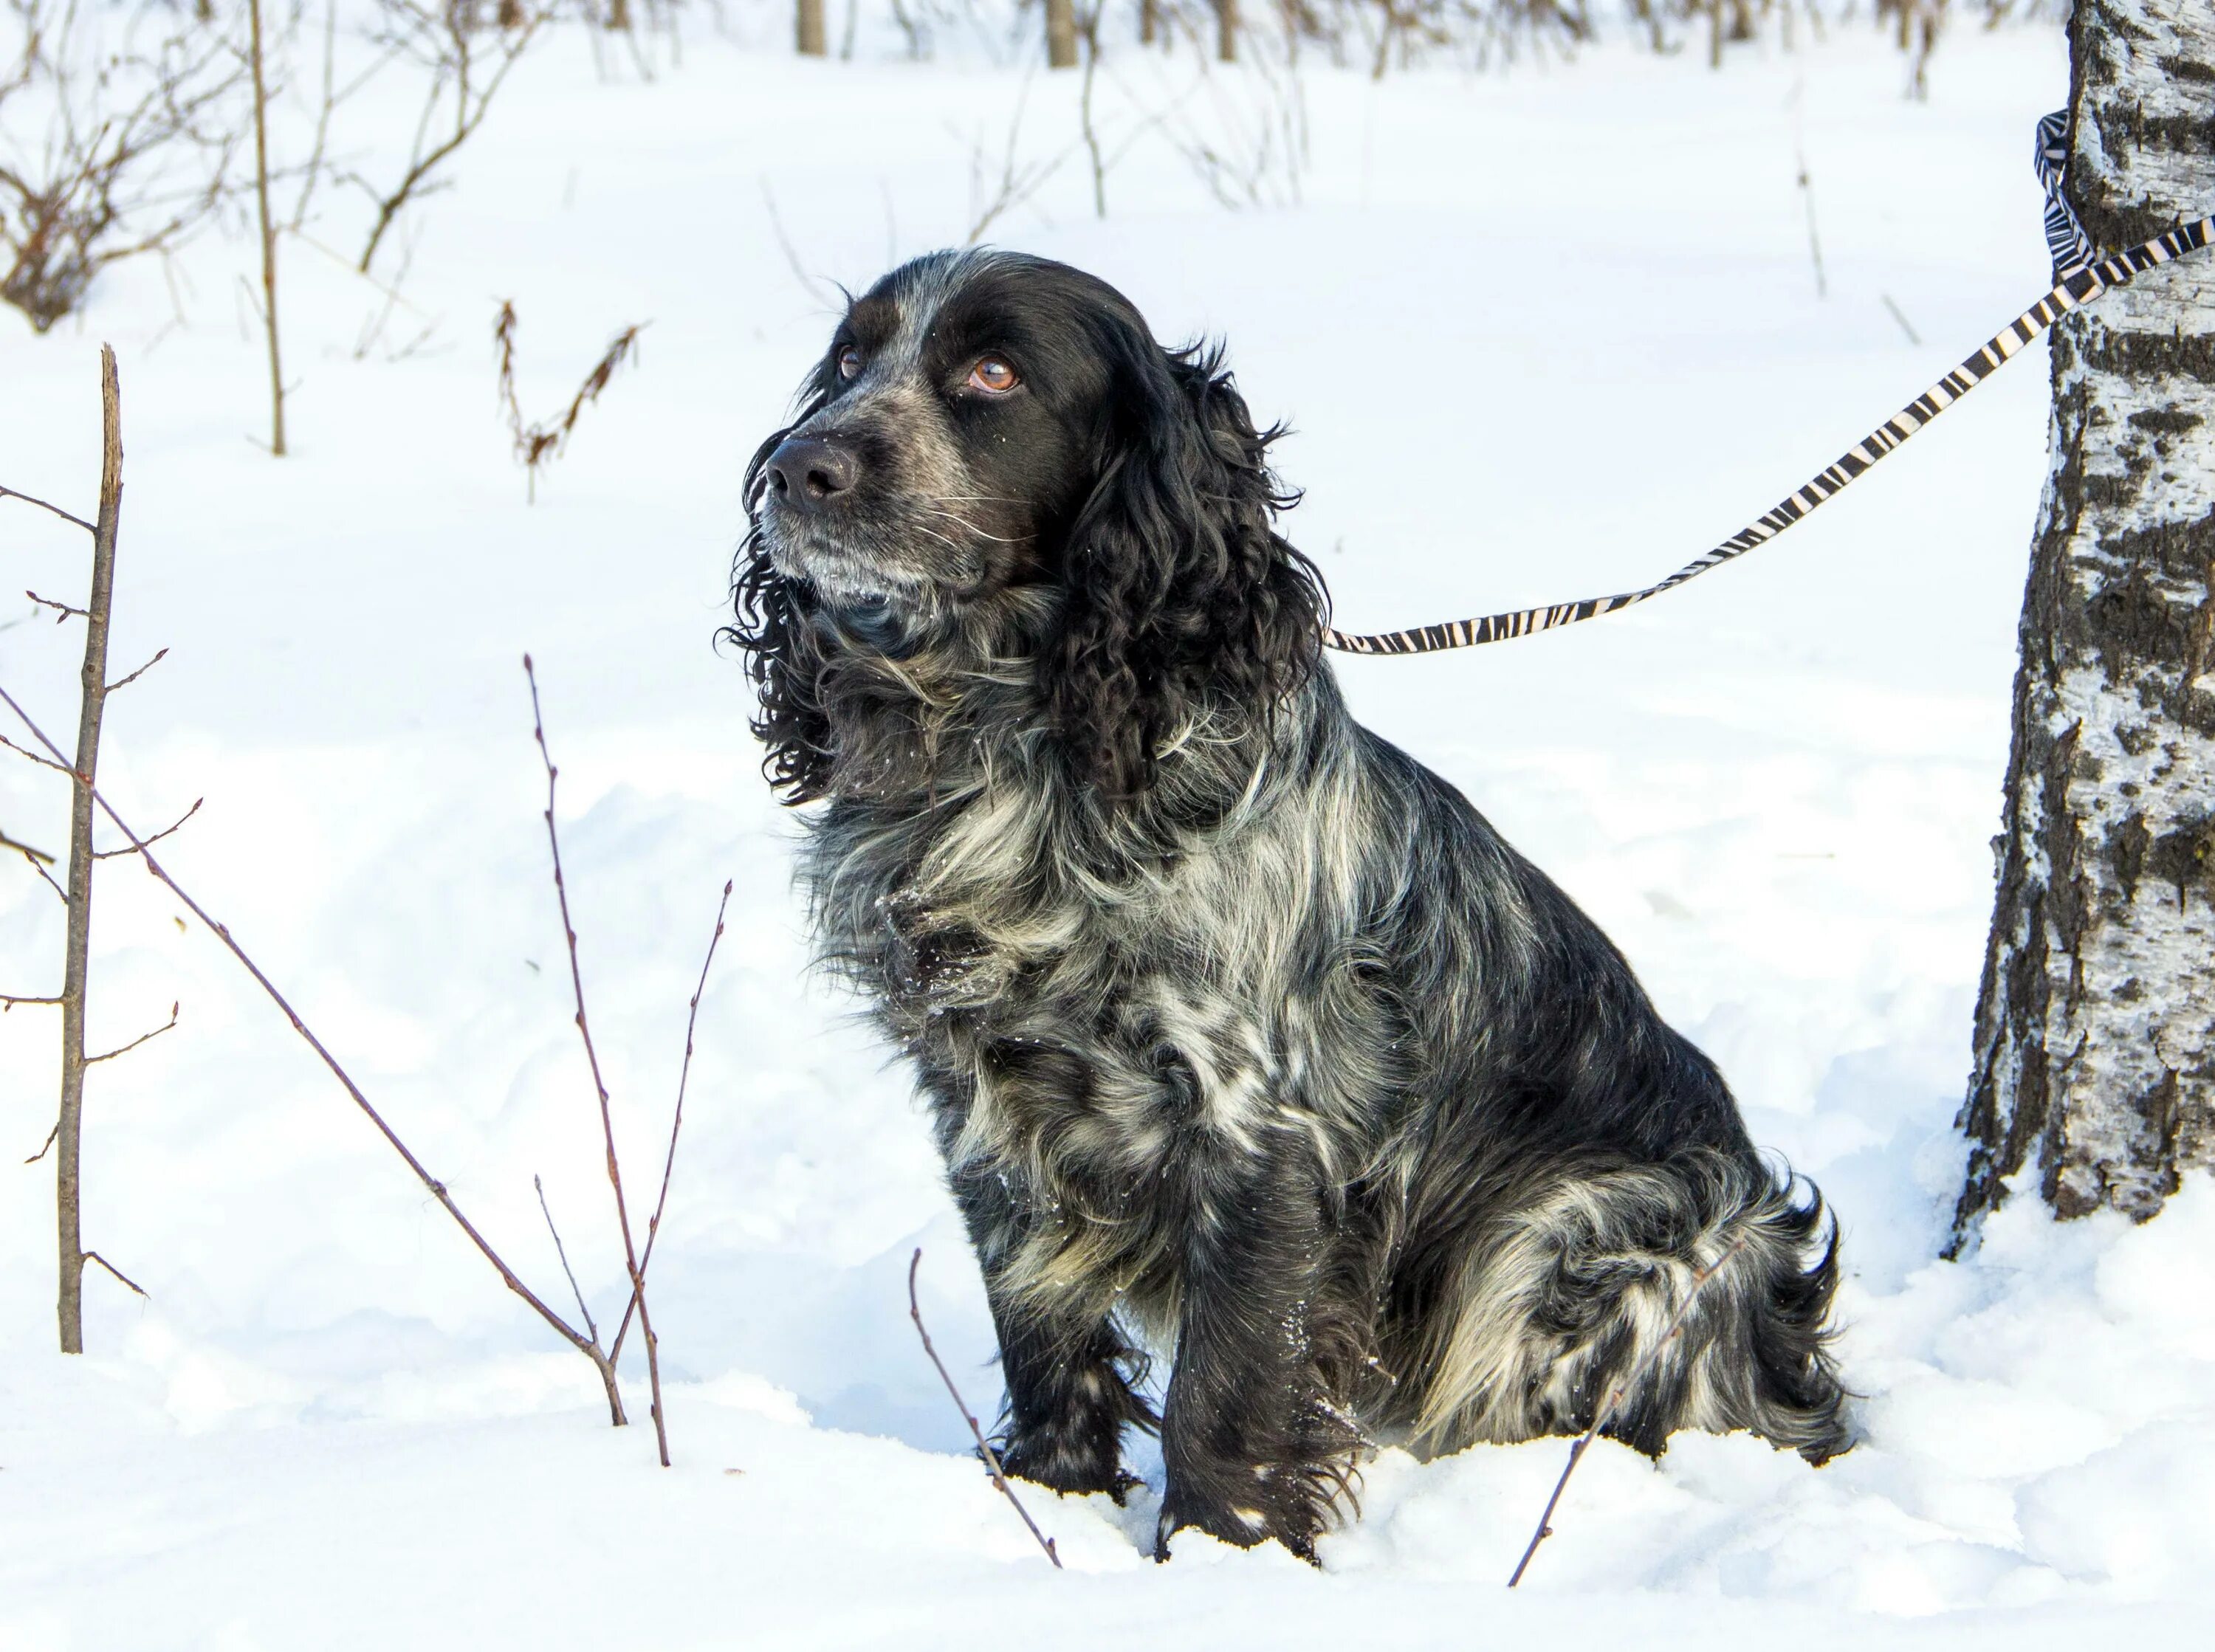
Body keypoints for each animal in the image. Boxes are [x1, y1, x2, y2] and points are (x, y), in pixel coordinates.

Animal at [731, 248, 1852, 1559]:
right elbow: (1043, 1332)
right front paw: (1055, 1501)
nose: (799, 466)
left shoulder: (1261, 1124)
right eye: (851, 360)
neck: (1014, 752)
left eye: (994, 373)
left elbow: (1227, 1389)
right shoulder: (985, 1109)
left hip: (1572, 1237)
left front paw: (1221, 1554)